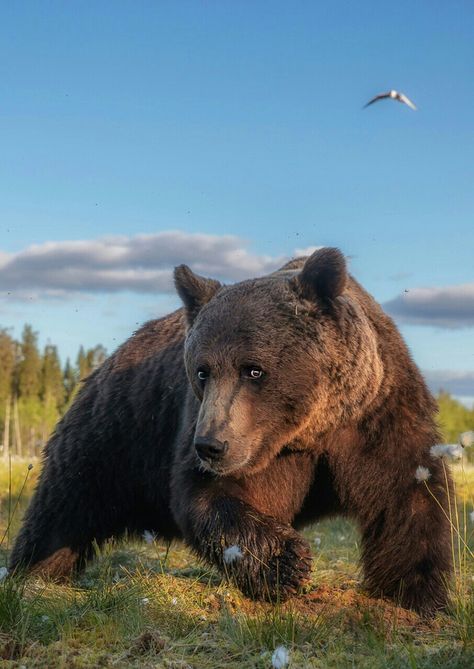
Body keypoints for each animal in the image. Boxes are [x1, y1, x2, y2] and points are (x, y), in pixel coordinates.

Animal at [8, 248, 452, 612]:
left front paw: (416, 595)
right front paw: (286, 562)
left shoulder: (375, 416)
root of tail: (108, 360)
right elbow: (211, 498)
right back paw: (32, 575)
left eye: (254, 369)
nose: (210, 446)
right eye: (202, 370)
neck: (309, 432)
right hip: (115, 436)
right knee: (62, 508)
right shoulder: (228, 437)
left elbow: (407, 496)